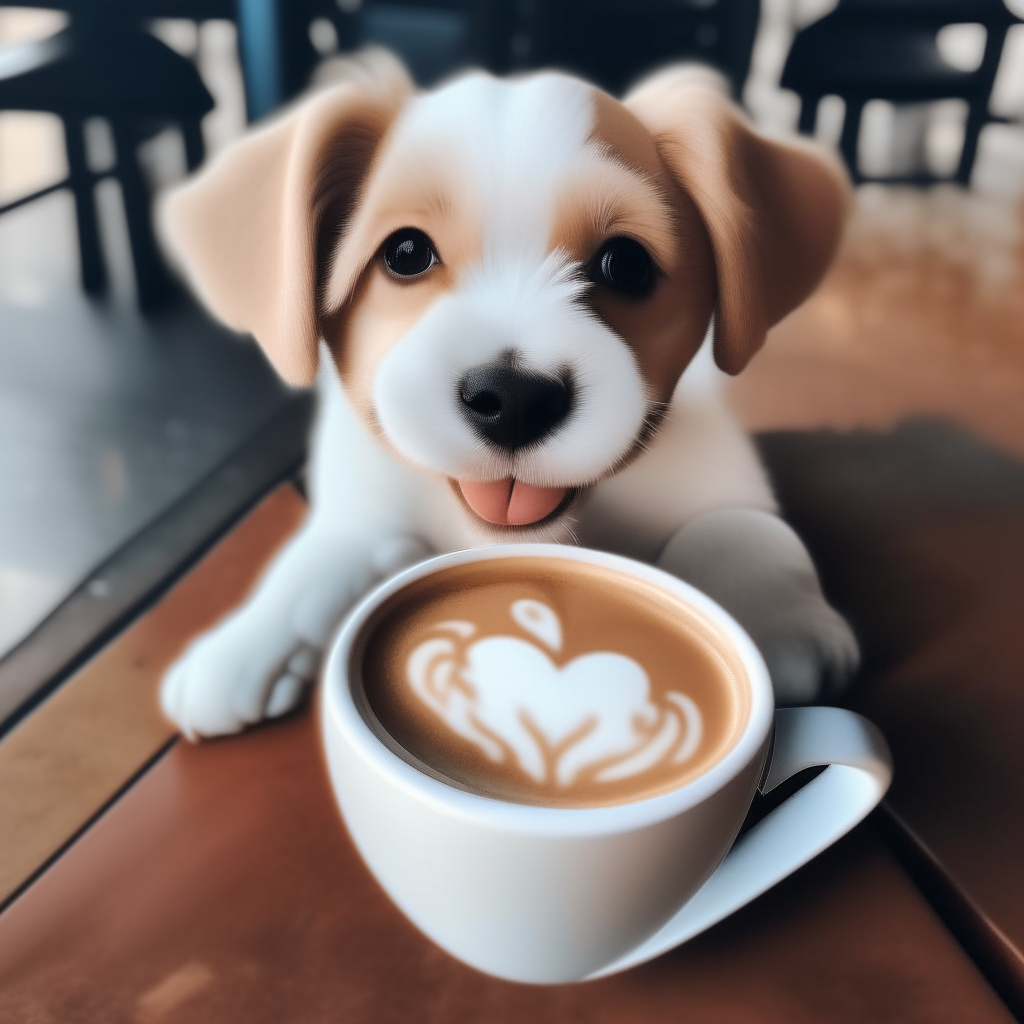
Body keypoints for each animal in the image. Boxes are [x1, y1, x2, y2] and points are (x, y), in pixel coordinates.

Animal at [157, 49, 856, 737]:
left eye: (626, 264)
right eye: (405, 252)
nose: (513, 400)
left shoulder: (721, 470)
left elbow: (736, 524)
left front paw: (778, 619)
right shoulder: (368, 501)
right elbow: (325, 551)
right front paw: (244, 643)